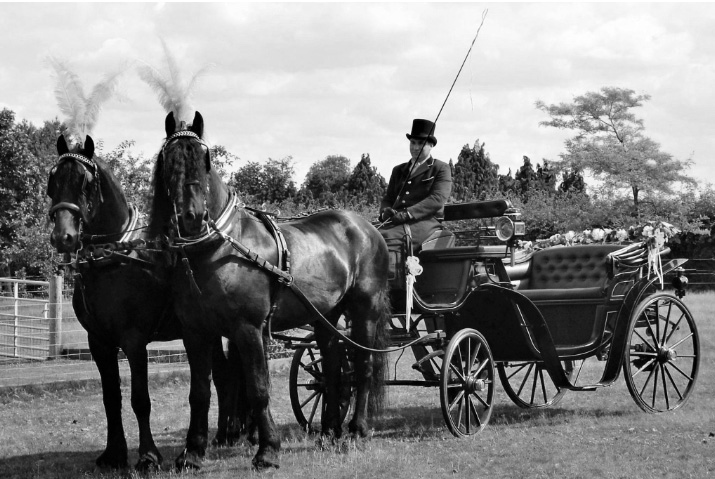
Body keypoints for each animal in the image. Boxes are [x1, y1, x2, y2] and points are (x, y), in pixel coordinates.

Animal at [45, 136, 241, 472]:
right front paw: (113, 455)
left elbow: (140, 399)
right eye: (53, 180)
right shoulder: (99, 342)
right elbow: (111, 398)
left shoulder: (134, 341)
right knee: (225, 376)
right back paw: (225, 435)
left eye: (85, 182)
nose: (63, 236)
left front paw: (148, 456)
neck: (113, 260)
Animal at [150, 111, 392, 468]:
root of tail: (366, 226)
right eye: (168, 161)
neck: (218, 251)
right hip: (326, 316)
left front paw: (267, 451)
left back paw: (357, 429)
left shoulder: (247, 329)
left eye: (205, 160)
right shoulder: (196, 332)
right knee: (332, 368)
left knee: (362, 366)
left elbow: (257, 388)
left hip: (366, 311)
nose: (191, 216)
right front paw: (192, 452)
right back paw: (329, 432)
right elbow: (200, 392)